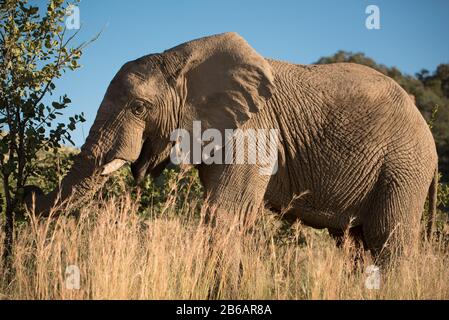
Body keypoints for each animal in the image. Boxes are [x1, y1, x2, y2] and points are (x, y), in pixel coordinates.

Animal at [25, 31, 438, 262]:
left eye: (139, 108)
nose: (28, 191)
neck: (180, 59)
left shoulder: (251, 131)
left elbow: (226, 214)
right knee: (354, 246)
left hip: (403, 168)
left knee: (387, 242)